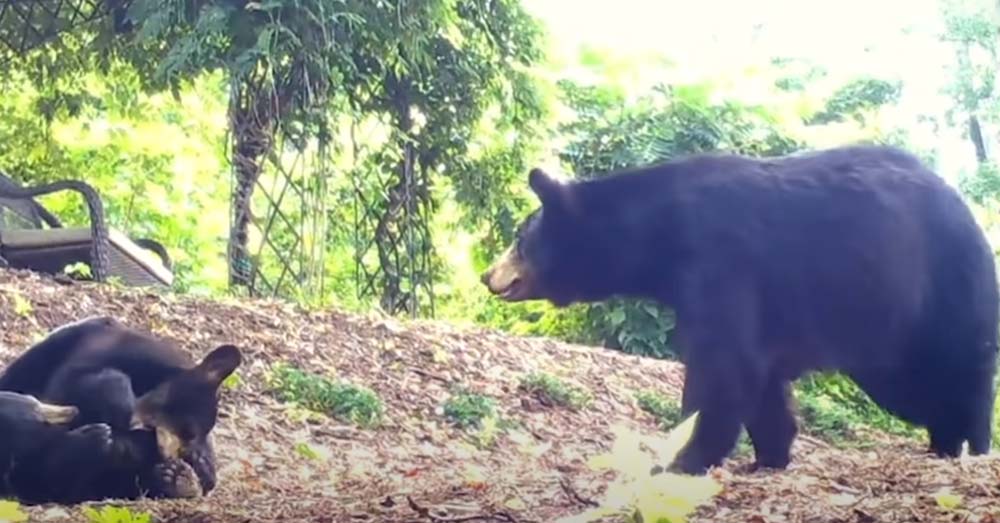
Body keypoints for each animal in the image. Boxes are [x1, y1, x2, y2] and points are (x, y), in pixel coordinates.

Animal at [0, 318, 241, 502]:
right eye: (187, 431)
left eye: (189, 439)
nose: (167, 455)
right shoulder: (108, 354)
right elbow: (79, 381)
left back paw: (175, 479)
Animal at [482, 143, 1000, 474]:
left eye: (519, 238)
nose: (488, 276)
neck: (657, 234)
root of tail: (967, 208)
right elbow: (760, 377)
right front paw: (769, 455)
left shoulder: (721, 259)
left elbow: (723, 366)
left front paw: (682, 458)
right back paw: (944, 441)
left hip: (936, 288)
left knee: (956, 367)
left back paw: (970, 443)